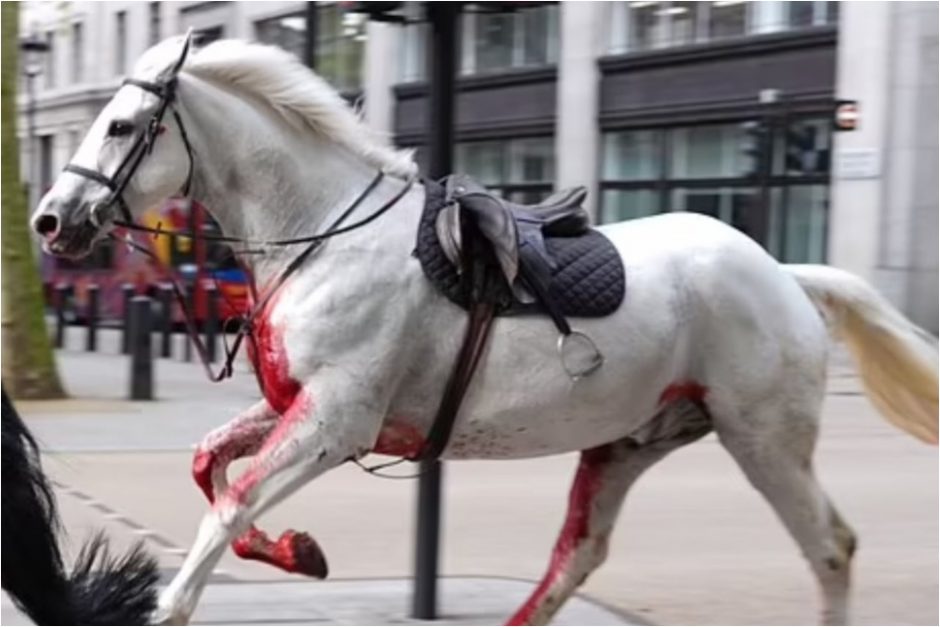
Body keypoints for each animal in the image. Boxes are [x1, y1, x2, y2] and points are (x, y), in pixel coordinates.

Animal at [33, 36, 936, 624]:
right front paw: (299, 549)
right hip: (631, 440)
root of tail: (785, 274)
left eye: (121, 126)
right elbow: (208, 466)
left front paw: (176, 602)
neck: (323, 235)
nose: (49, 220)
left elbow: (229, 503)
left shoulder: (335, 421)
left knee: (831, 546)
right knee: (578, 555)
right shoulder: (299, 406)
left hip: (763, 437)